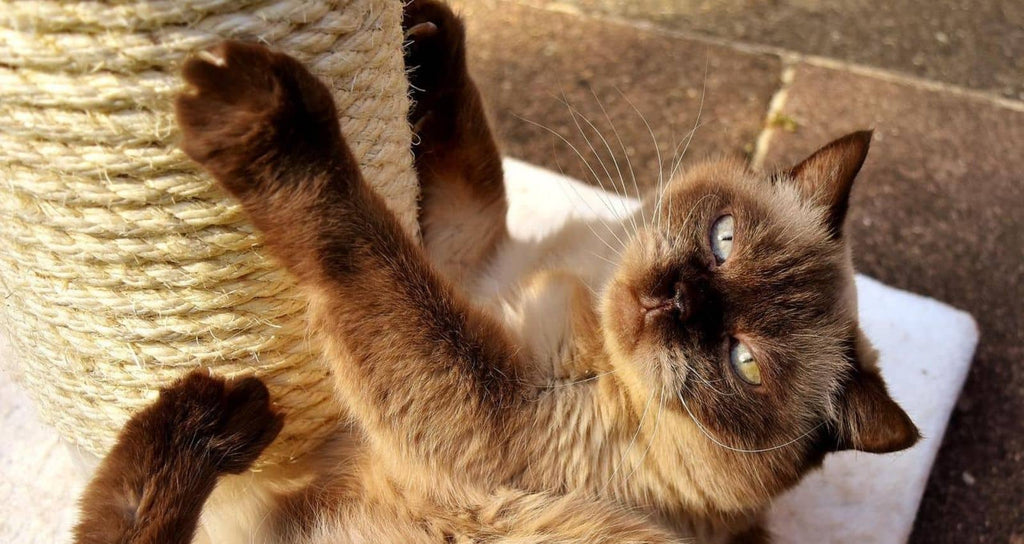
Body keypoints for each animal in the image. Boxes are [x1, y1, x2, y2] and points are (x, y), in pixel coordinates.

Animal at [72, 2, 921, 540]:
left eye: (744, 363)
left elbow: (361, 239)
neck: (582, 290)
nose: (674, 298)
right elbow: (467, 168)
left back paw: (217, 421)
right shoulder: (468, 259)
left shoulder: (489, 403)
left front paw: (269, 121)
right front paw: (423, 41)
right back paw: (210, 426)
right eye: (723, 241)